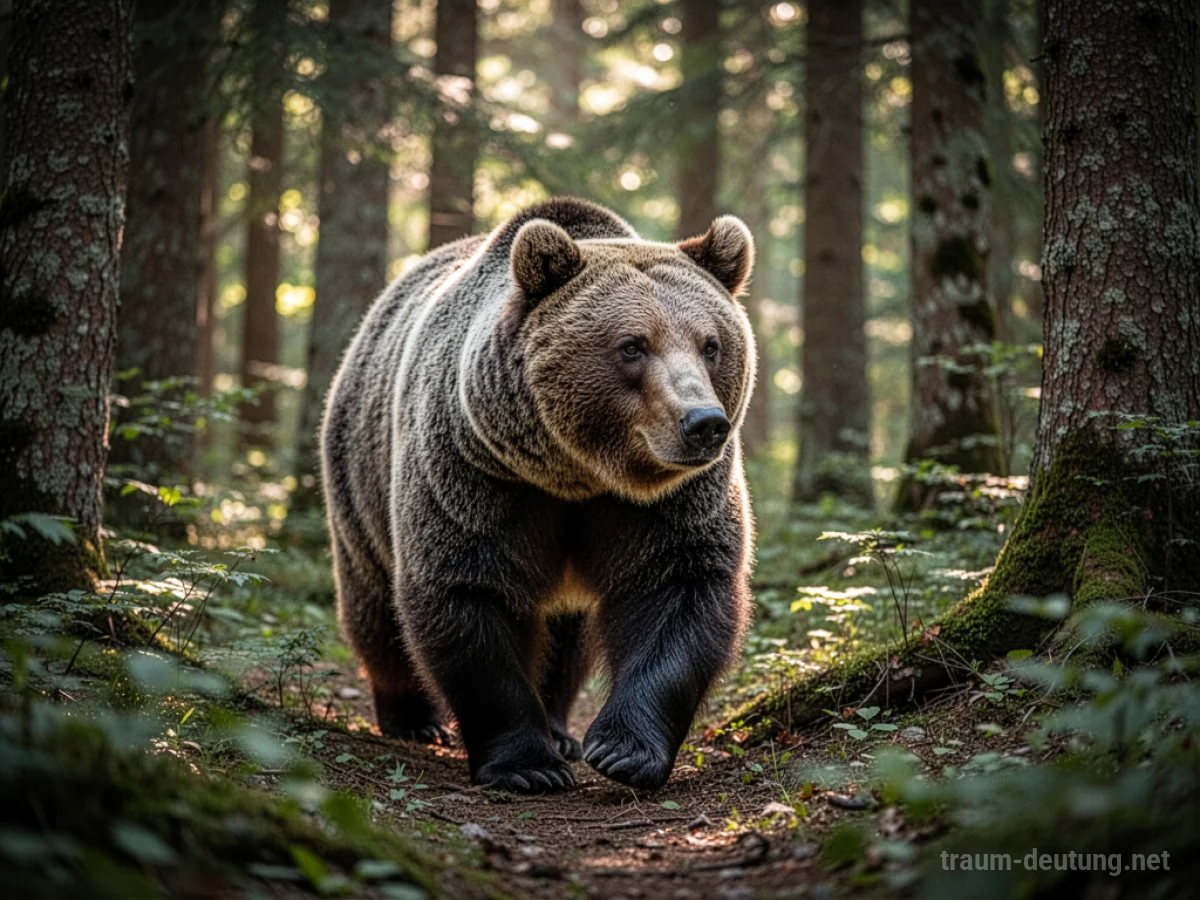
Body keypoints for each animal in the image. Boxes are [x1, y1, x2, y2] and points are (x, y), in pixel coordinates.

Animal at [321, 198, 756, 793]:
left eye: (710, 344)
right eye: (632, 345)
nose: (704, 423)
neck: (577, 474)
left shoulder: (671, 501)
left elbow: (679, 588)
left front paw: (622, 750)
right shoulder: (477, 476)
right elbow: (470, 597)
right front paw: (527, 766)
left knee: (565, 637)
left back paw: (559, 727)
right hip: (359, 479)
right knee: (373, 605)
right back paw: (411, 717)